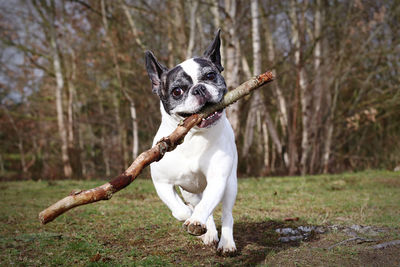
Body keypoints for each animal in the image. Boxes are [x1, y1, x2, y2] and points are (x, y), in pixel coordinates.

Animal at [145, 29, 236, 255]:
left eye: (210, 76)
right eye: (177, 91)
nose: (199, 89)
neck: (192, 137)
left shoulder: (218, 179)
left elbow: (207, 206)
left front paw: (196, 222)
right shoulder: (162, 184)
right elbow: (179, 211)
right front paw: (192, 219)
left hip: (230, 183)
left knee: (225, 212)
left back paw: (226, 242)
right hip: (191, 191)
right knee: (199, 205)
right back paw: (208, 232)